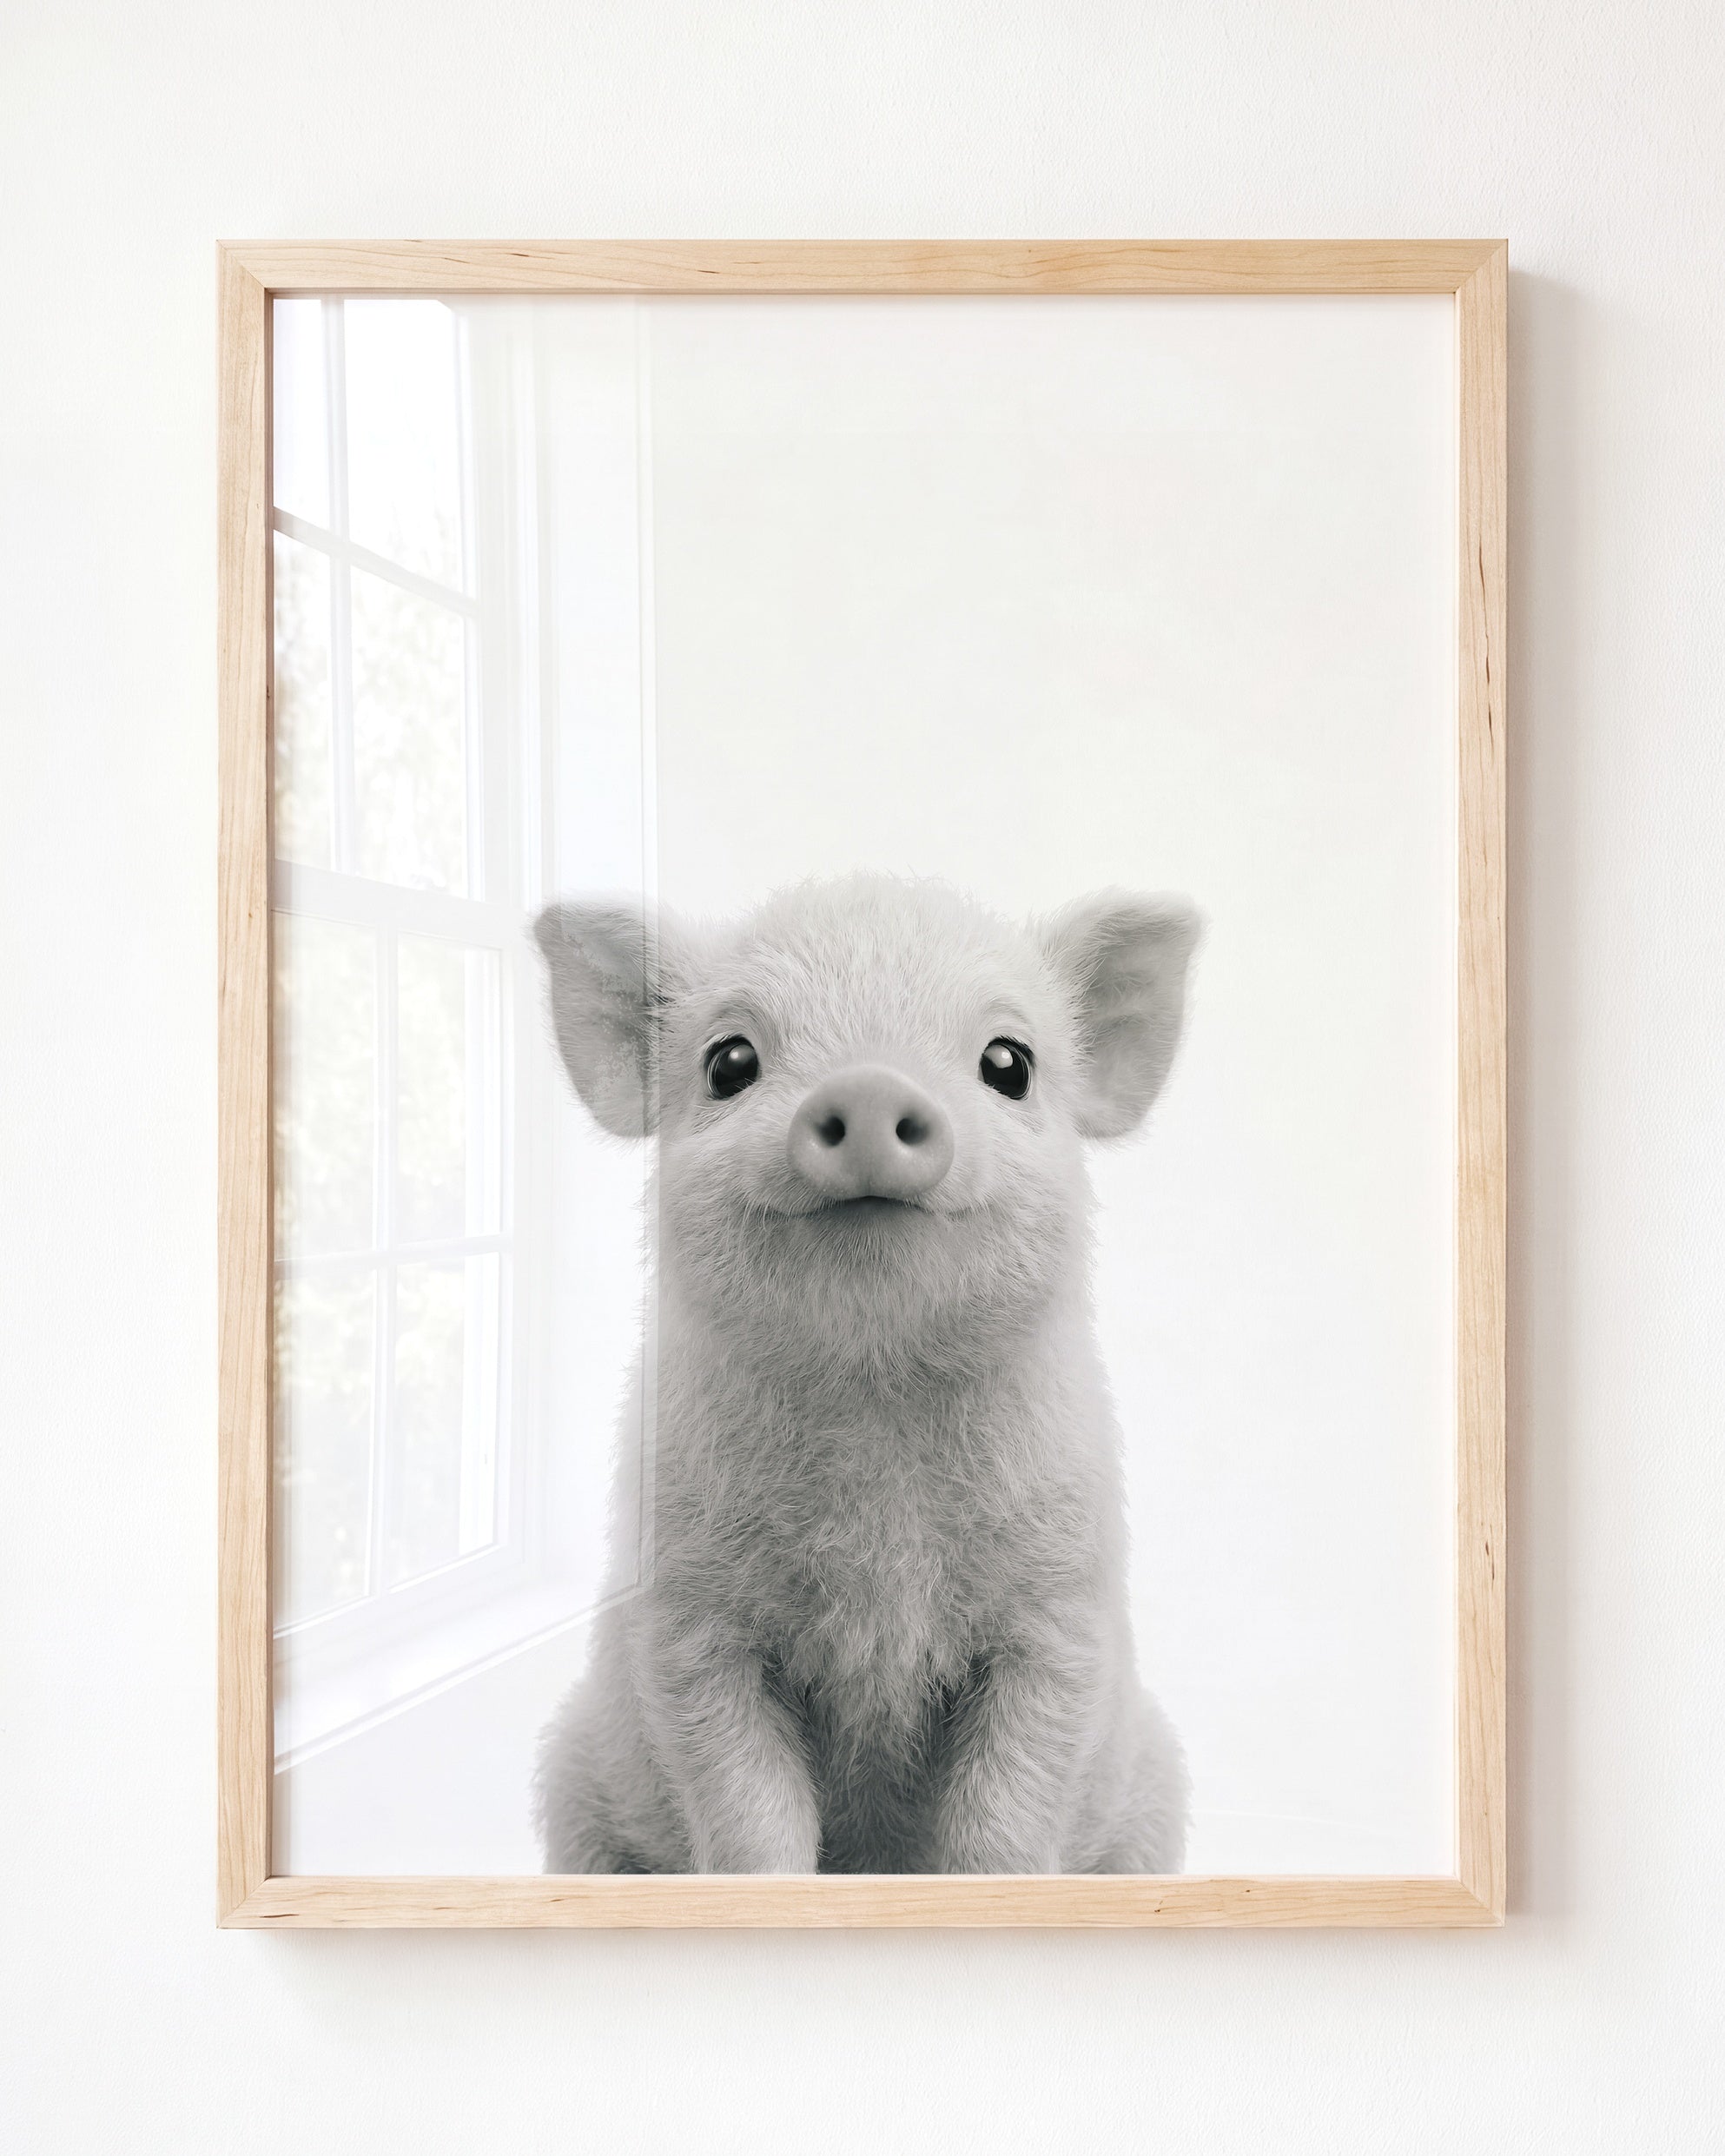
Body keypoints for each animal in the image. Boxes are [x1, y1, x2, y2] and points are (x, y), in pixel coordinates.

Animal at [531, 873, 1199, 1874]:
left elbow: (1003, 1824)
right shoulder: (688, 1620)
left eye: (1010, 1063)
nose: (872, 1084)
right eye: (729, 1062)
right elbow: (751, 1818)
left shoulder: (1059, 1611)